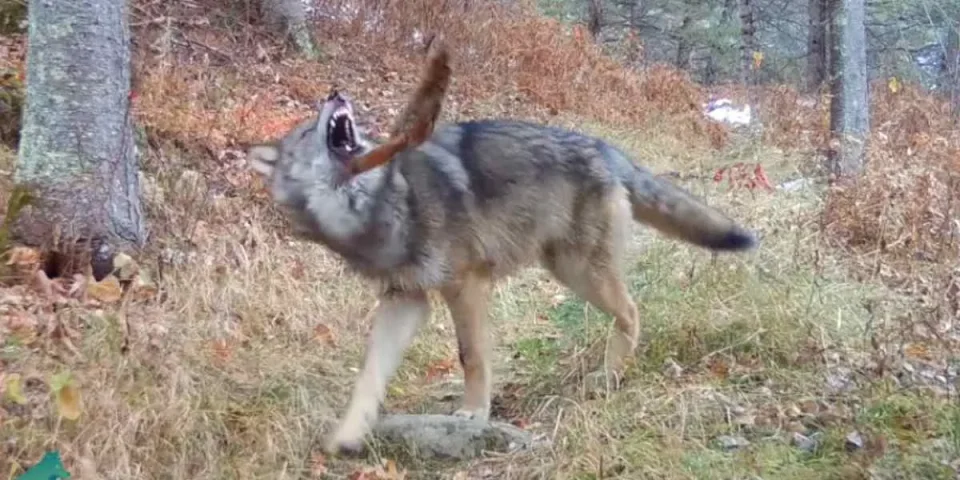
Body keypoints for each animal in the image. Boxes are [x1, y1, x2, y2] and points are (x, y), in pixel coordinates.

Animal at [247, 90, 759, 454]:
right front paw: (347, 436)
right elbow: (370, 375)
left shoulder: (465, 284)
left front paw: (474, 413)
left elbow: (471, 357)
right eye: (305, 133)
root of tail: (606, 148)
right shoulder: (404, 299)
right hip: (567, 268)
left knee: (631, 313)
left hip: (578, 271)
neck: (376, 204)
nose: (334, 94)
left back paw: (608, 379)